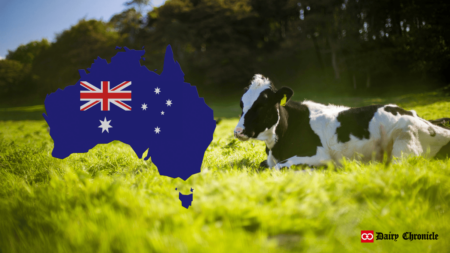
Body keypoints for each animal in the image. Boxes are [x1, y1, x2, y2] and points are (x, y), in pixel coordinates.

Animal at [234, 74, 450, 169]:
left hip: (404, 144)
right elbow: (265, 165)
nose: (238, 131)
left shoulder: (318, 154)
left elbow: (279, 167)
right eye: (241, 103)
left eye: (262, 104)